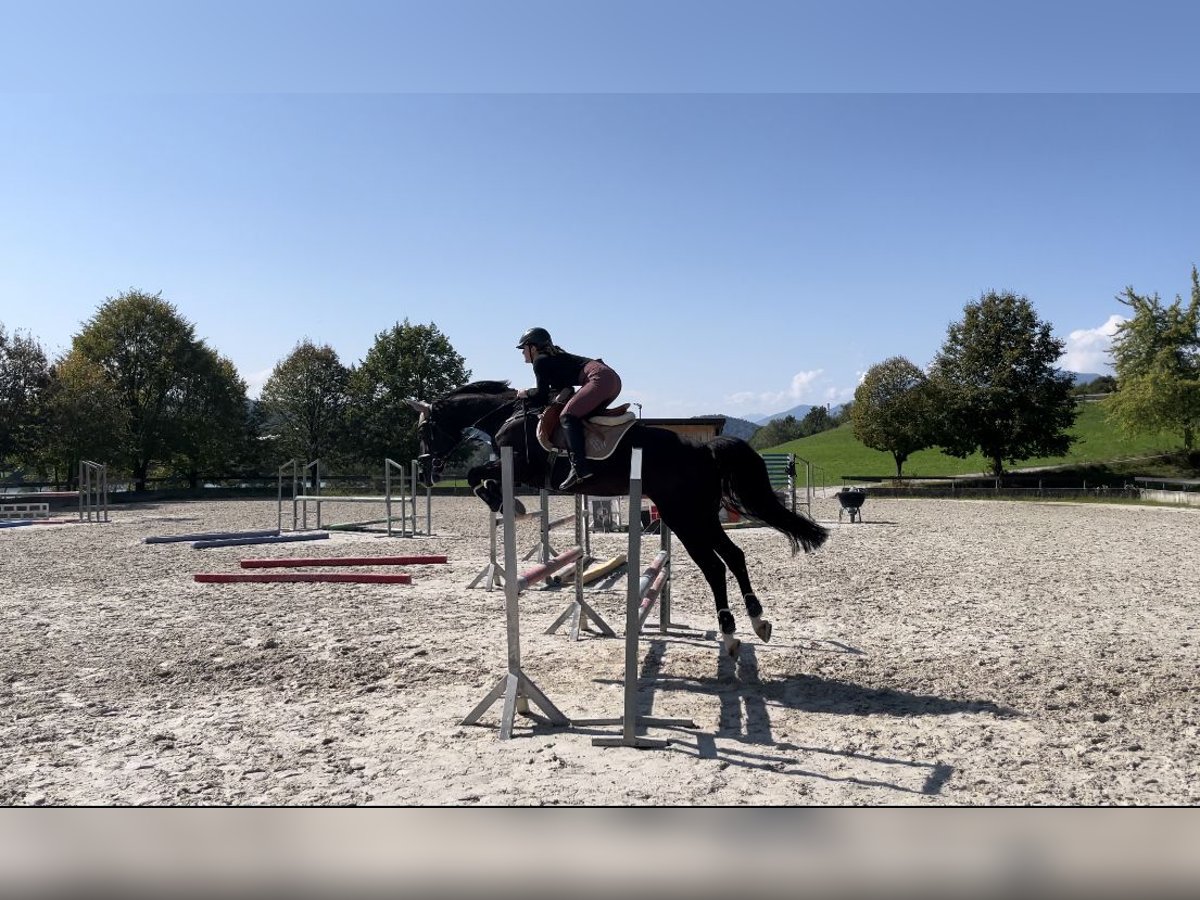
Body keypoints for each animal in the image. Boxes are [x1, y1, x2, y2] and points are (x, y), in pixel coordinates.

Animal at [408, 381, 830, 657]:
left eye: (426, 428)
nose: (426, 471)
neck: (506, 414)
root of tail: (702, 449)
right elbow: (478, 474)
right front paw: (504, 501)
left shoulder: (523, 467)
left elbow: (476, 474)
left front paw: (505, 502)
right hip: (700, 516)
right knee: (734, 556)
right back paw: (758, 622)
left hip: (683, 516)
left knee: (714, 565)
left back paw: (729, 634)